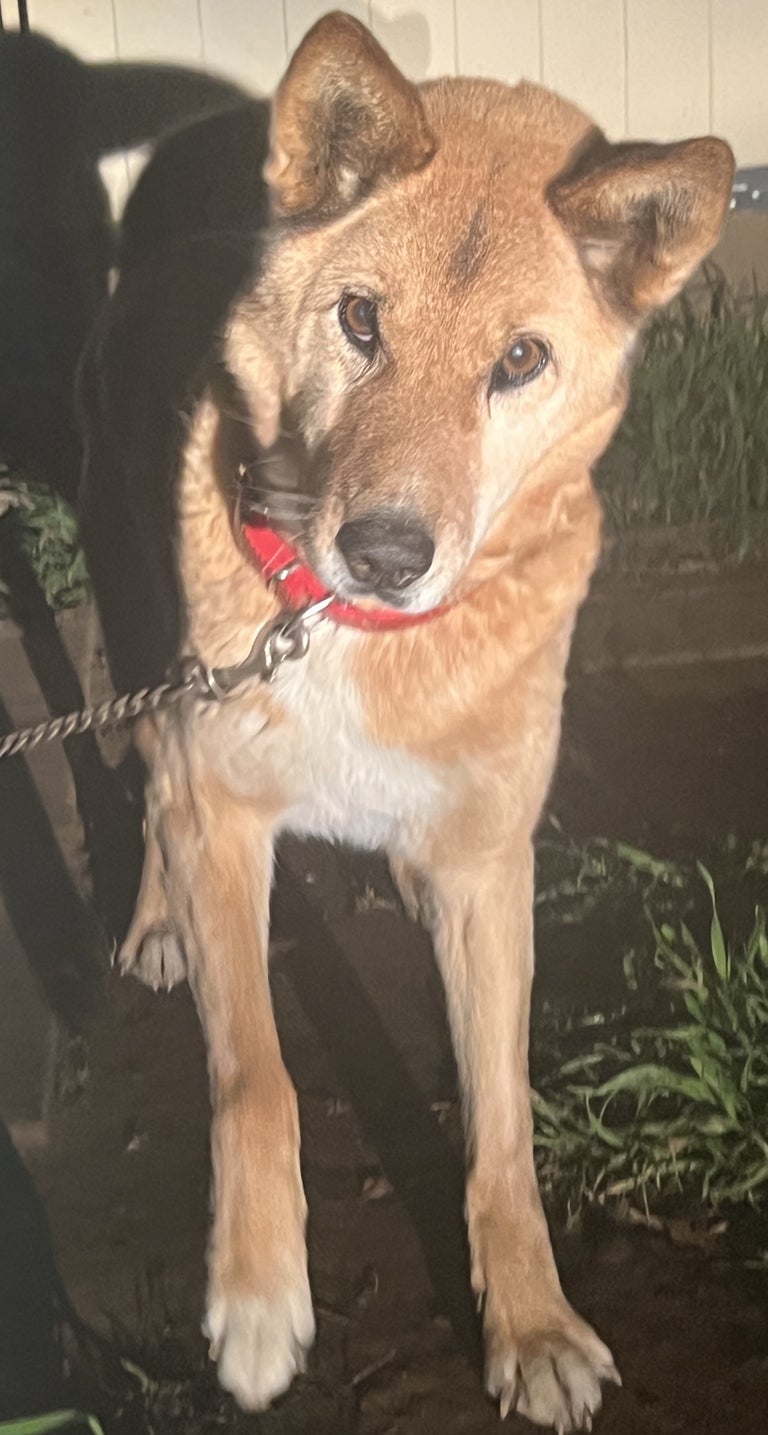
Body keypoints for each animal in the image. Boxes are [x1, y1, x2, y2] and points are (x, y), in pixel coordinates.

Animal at [78, 13, 733, 1430]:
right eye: (361, 321)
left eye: (520, 361)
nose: (382, 552)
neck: (357, 637)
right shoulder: (229, 821)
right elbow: (257, 1078)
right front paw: (259, 1301)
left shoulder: (492, 867)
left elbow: (503, 1123)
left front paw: (531, 1319)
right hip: (142, 628)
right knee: (149, 775)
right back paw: (154, 920)